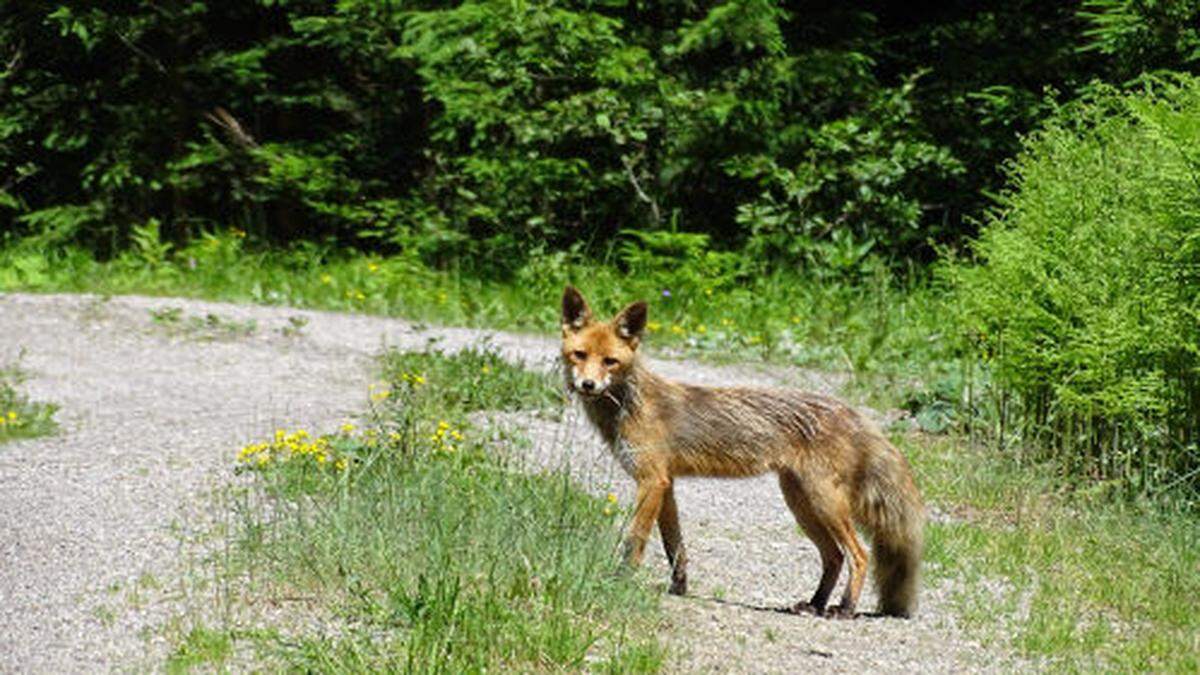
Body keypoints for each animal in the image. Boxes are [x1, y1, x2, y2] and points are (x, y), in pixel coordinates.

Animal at [561, 283, 926, 614]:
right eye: (579, 355)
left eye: (610, 361)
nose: (588, 385)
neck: (629, 405)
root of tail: (851, 411)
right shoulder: (667, 484)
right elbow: (674, 546)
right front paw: (679, 587)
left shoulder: (651, 481)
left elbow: (634, 540)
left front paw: (619, 580)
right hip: (802, 503)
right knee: (834, 556)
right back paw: (814, 604)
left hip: (825, 503)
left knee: (859, 555)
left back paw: (845, 608)